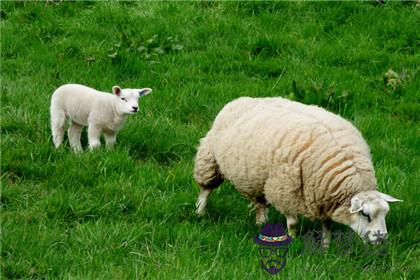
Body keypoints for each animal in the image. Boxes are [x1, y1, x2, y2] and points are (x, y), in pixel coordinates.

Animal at [192, 96, 402, 247]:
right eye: (366, 215)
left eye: (385, 214)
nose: (382, 239)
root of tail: (240, 99)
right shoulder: (286, 192)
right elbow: (293, 223)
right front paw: (292, 242)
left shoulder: (323, 199)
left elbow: (327, 225)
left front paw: (326, 246)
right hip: (209, 159)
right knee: (206, 189)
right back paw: (200, 212)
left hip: (256, 178)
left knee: (259, 201)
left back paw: (261, 223)